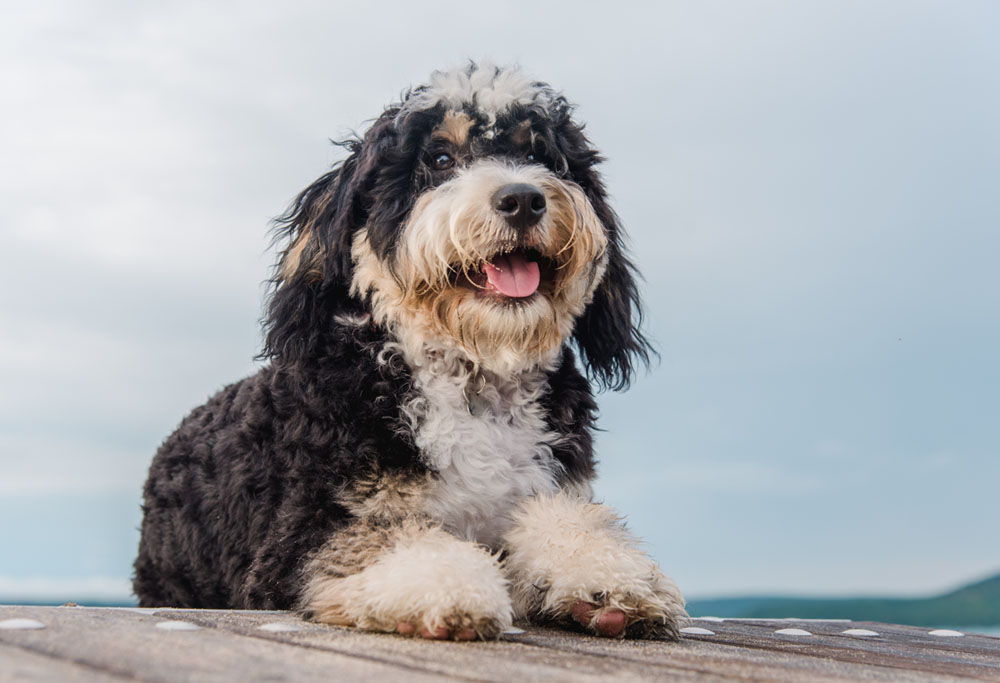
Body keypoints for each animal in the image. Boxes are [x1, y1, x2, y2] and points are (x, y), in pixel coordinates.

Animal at [135, 62, 688, 640]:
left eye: (541, 156)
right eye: (440, 158)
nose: (523, 199)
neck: (472, 380)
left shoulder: (548, 489)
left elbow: (569, 523)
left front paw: (608, 577)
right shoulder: (300, 532)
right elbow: (384, 539)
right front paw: (450, 585)